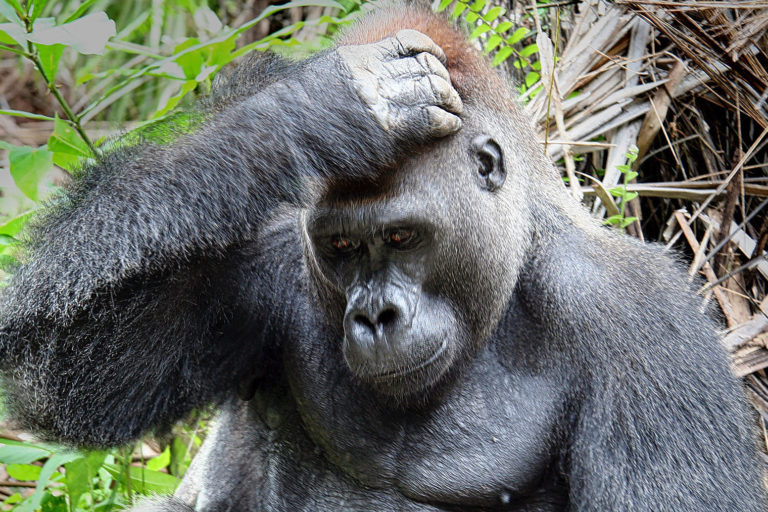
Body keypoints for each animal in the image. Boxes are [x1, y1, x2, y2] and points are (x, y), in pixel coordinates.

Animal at [1, 4, 768, 512]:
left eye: (402, 238)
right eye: (342, 248)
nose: (375, 315)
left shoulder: (639, 316)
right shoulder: (270, 251)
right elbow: (61, 377)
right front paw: (324, 104)